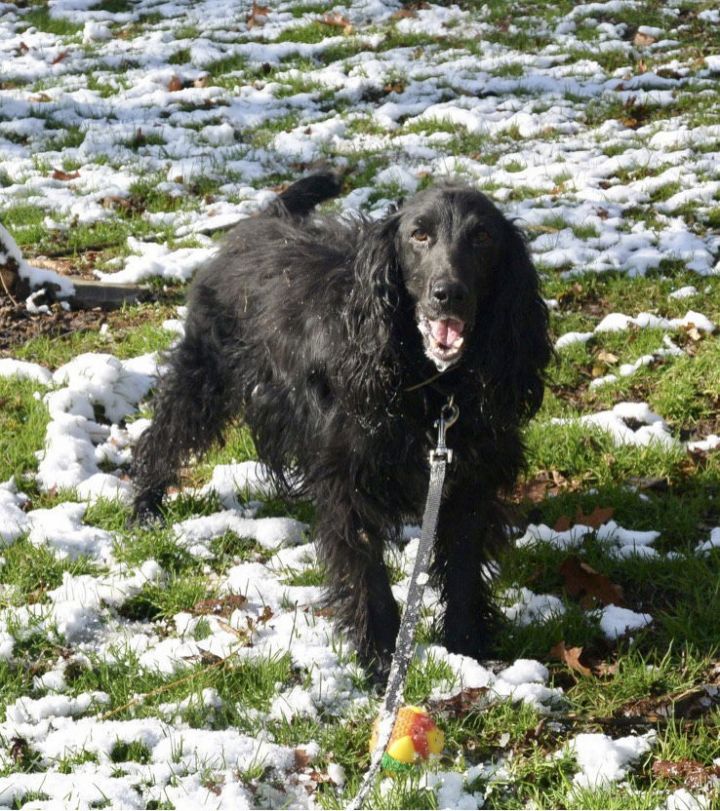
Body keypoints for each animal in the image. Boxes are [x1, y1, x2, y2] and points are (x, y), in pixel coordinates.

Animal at [134, 174, 552, 680]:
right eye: (419, 234)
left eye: (483, 236)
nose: (448, 293)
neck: (431, 385)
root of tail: (263, 219)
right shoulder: (346, 482)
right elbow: (367, 576)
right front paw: (381, 662)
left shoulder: (470, 479)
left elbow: (463, 568)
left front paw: (467, 647)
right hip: (204, 370)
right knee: (161, 435)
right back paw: (145, 505)